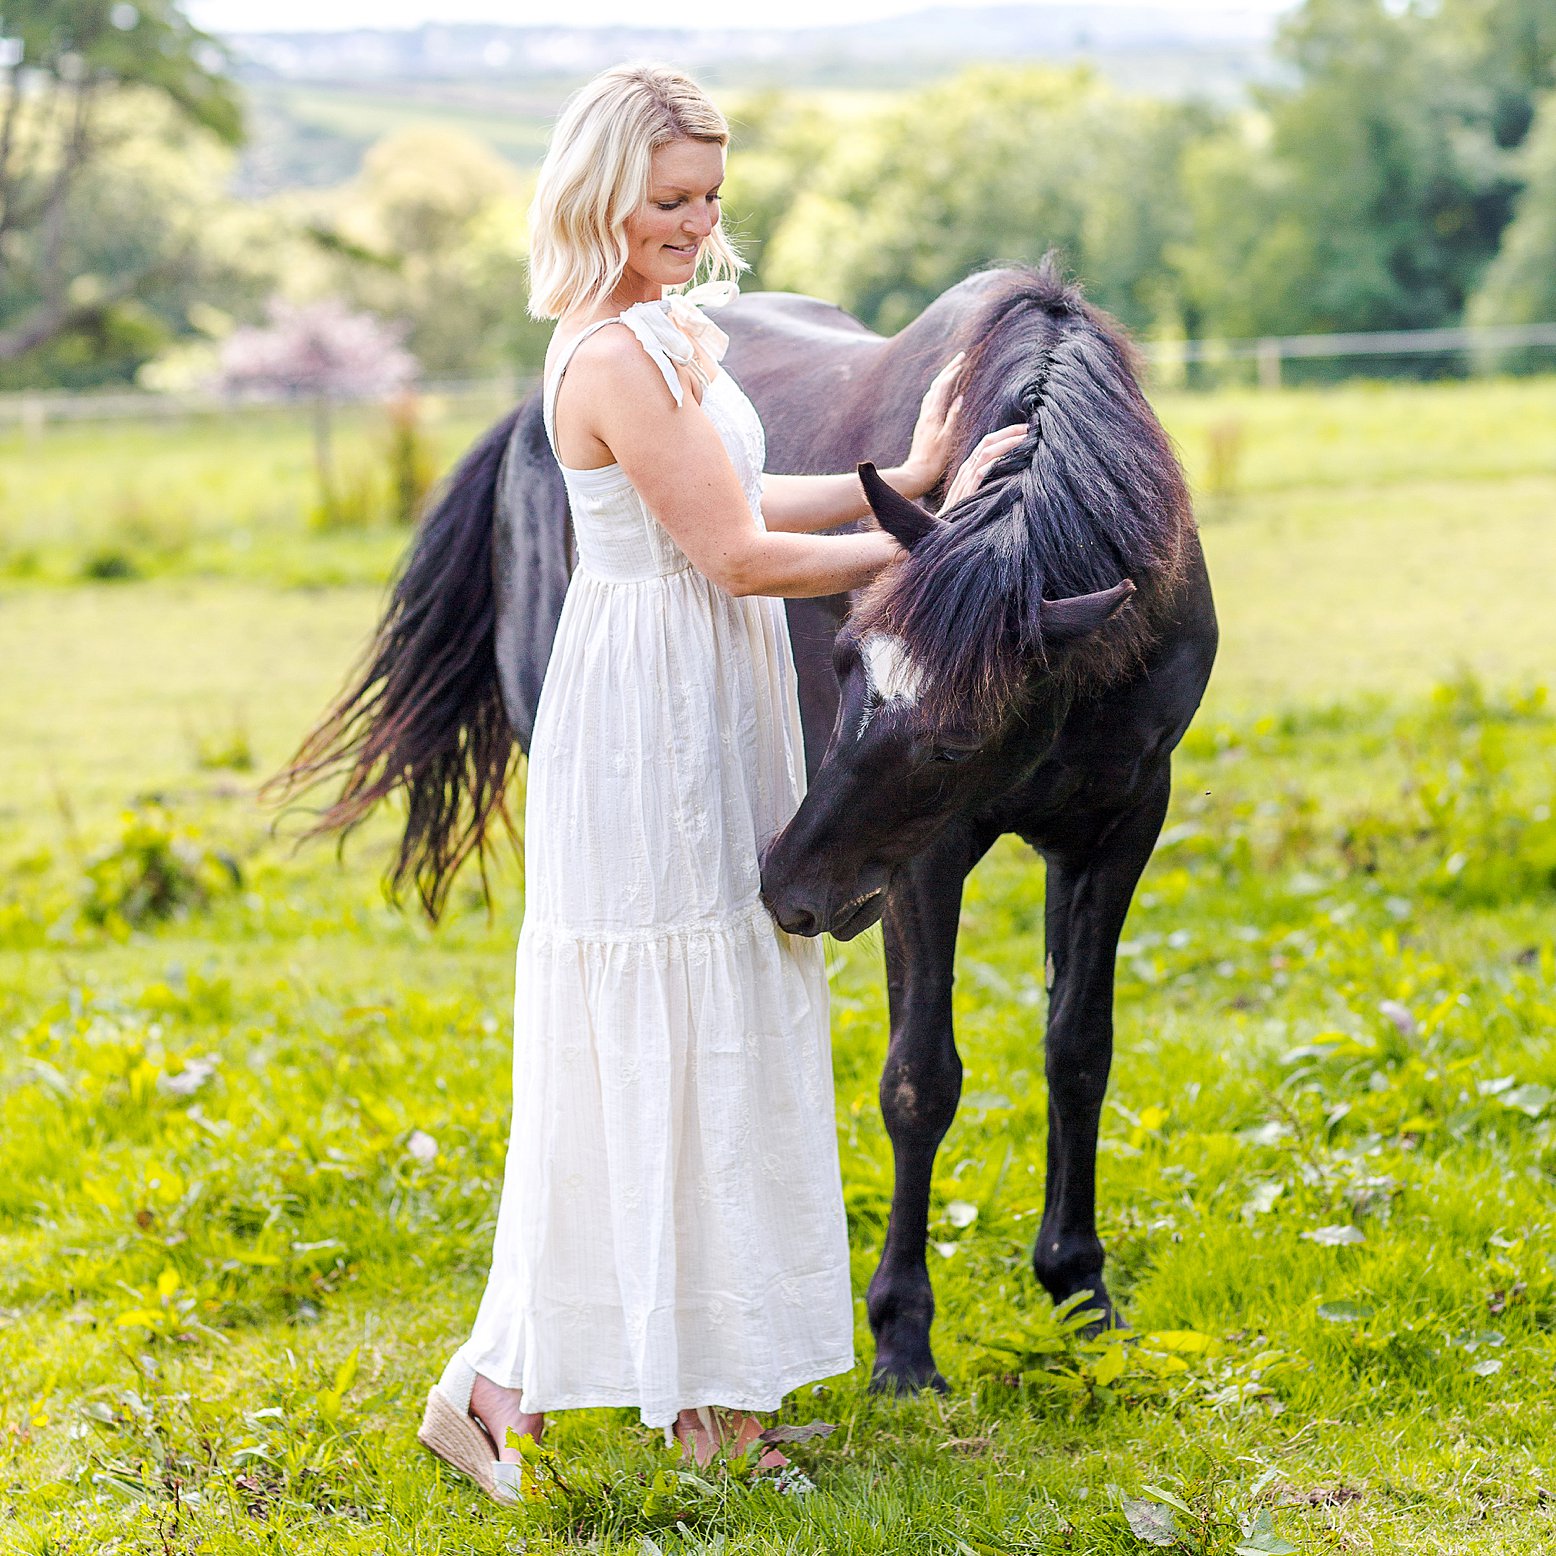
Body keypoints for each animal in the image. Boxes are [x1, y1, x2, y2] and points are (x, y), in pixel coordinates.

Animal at [286, 258, 1219, 1400]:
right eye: (845, 657)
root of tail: (522, 420)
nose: (788, 885)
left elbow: (1078, 1051)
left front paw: (1082, 1293)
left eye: (953, 742)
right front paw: (901, 1337)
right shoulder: (923, 865)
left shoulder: (1118, 827)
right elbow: (921, 1079)